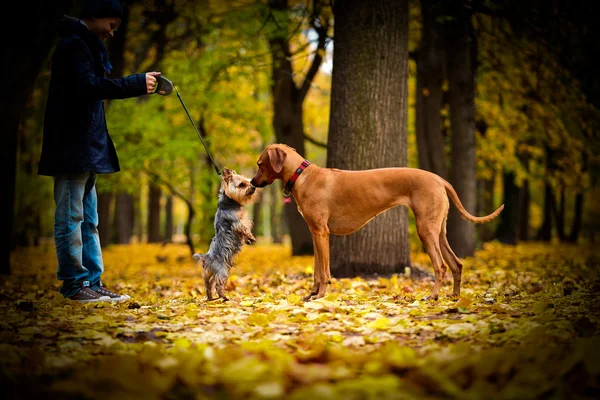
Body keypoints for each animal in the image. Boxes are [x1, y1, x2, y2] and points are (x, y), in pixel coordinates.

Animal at [251, 144, 504, 300]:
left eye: (259, 164)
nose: (252, 183)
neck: (302, 175)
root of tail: (439, 179)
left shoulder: (321, 233)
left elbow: (323, 271)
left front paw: (321, 295)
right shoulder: (315, 234)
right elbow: (316, 269)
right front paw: (311, 294)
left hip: (425, 229)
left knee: (441, 266)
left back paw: (433, 295)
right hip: (438, 230)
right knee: (456, 263)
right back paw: (454, 296)